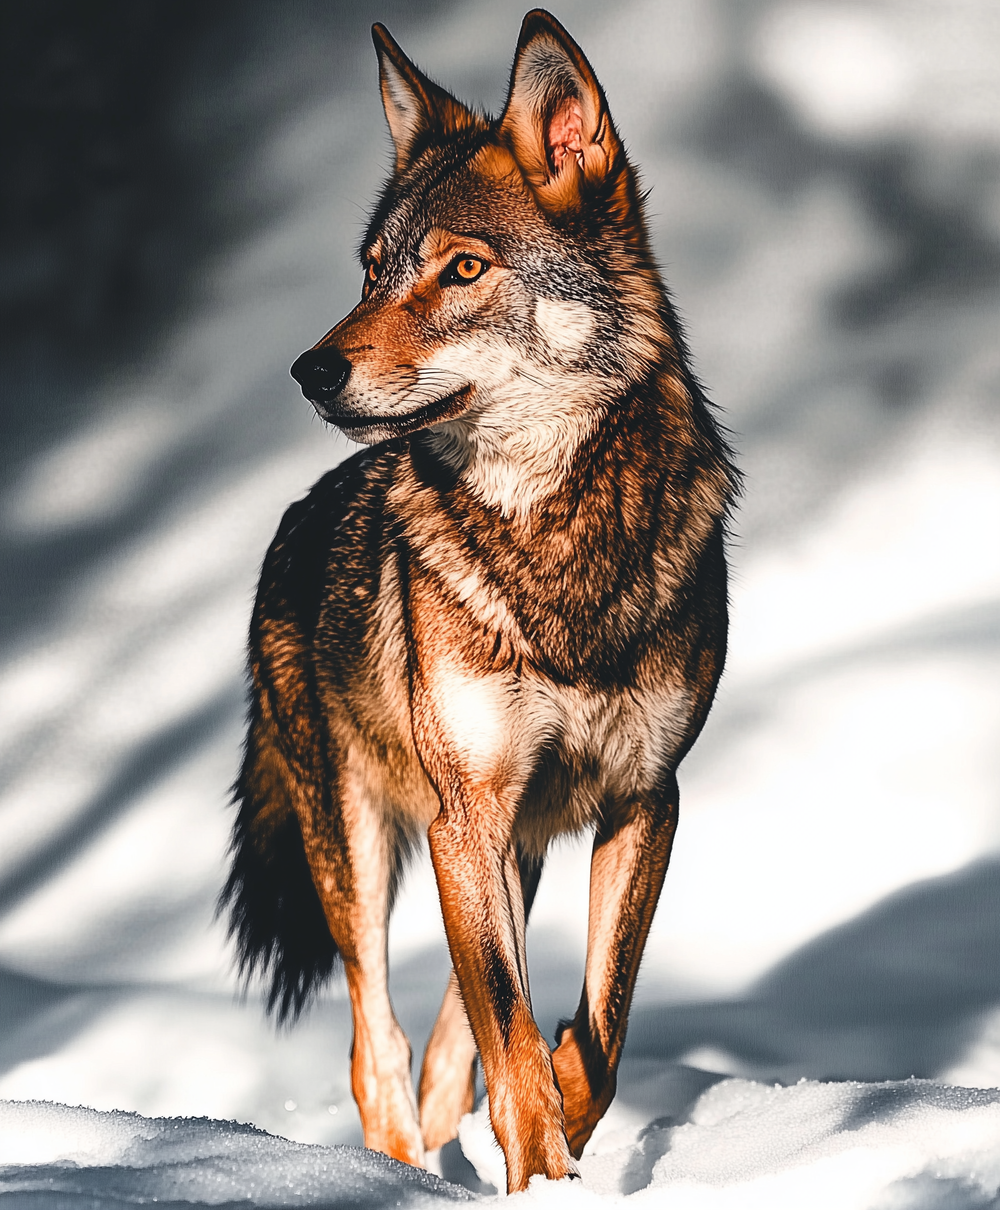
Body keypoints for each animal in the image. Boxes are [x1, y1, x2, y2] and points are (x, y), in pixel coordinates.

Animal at [222, 8, 738, 1193]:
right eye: (371, 272)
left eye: (461, 269)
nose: (309, 369)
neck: (554, 537)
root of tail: (292, 524)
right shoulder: (471, 814)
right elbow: (514, 1037)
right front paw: (543, 1175)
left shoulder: (643, 799)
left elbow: (596, 1031)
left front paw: (553, 1146)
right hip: (370, 846)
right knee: (380, 1048)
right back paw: (399, 1171)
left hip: (513, 846)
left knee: (448, 1051)